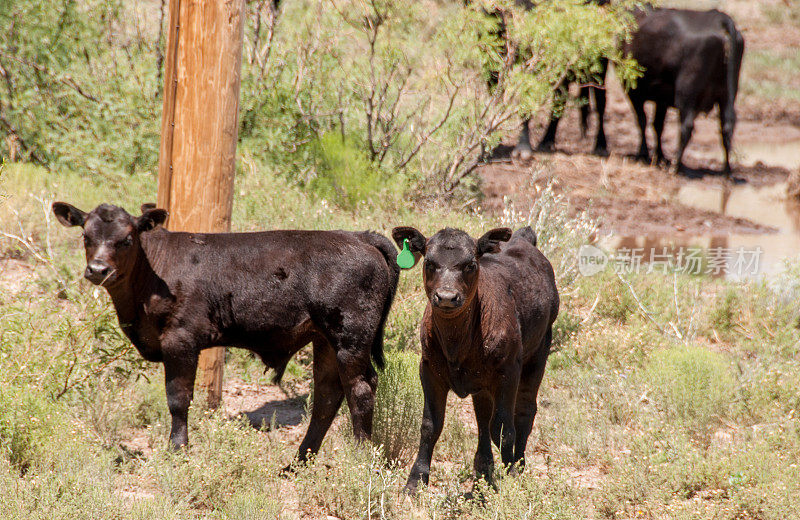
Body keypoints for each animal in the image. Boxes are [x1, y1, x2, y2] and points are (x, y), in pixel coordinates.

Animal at [52, 201, 396, 462]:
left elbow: (178, 398)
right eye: (85, 236)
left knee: (360, 390)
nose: (98, 270)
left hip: (350, 337)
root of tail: (359, 236)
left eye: (126, 239)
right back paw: (298, 462)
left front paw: (177, 450)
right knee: (327, 394)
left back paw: (359, 458)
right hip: (325, 340)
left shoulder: (181, 340)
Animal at [390, 224, 560, 492]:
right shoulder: (428, 370)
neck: (456, 344)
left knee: (524, 411)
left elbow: (503, 428)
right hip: (482, 379)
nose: (446, 296)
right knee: (482, 417)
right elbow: (430, 425)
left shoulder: (508, 371)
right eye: (429, 262)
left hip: (539, 351)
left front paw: (510, 478)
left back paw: (519, 467)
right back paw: (483, 469)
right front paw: (415, 482)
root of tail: (522, 238)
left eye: (470, 264)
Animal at [624, 6, 744, 173]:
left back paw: (675, 165)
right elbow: (657, 125)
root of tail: (718, 18)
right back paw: (726, 170)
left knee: (687, 126)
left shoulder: (633, 91)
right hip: (727, 95)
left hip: (686, 93)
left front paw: (643, 154)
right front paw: (659, 156)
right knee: (727, 126)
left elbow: (642, 121)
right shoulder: (662, 98)